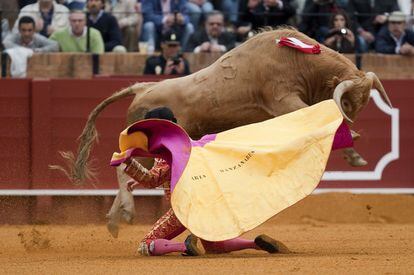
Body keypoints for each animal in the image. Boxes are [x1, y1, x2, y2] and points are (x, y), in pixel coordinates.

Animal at [55, 28, 392, 237]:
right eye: (347, 102)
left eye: (362, 104)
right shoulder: (283, 99)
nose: (353, 123)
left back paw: (115, 221)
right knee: (123, 168)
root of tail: (143, 87)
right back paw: (123, 213)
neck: (300, 61)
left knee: (129, 170)